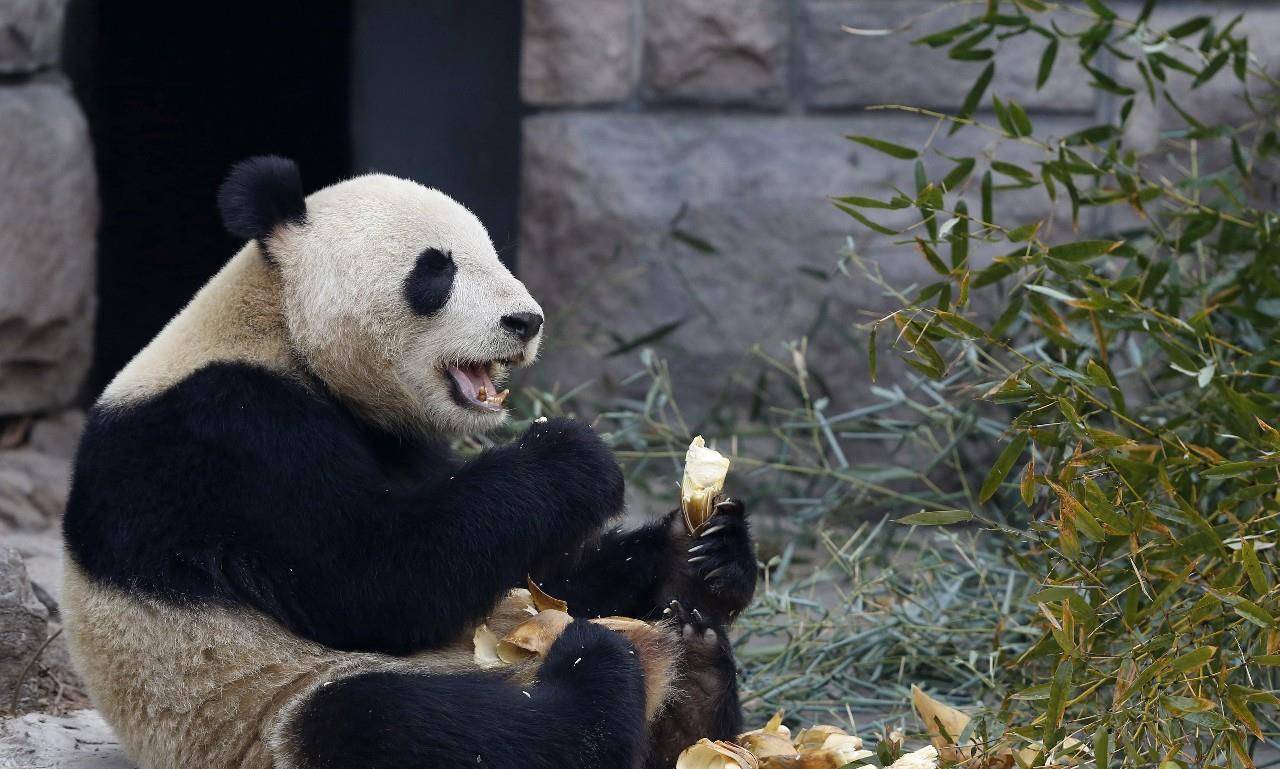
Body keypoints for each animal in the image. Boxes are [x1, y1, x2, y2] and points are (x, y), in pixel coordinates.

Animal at [60, 157, 752, 767]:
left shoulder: (405, 442)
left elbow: (530, 574)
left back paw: (697, 677)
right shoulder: (229, 436)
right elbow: (377, 577)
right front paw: (574, 454)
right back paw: (596, 665)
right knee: (413, 725)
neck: (279, 326)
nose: (525, 321)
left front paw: (702, 552)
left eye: (494, 253)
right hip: (263, 709)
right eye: (436, 269)